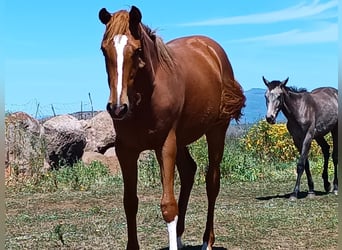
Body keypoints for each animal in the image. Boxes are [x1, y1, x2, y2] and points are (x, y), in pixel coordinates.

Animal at [97, 5, 244, 248]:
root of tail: (211, 50)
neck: (146, 99)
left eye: (137, 51)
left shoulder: (165, 145)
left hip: (216, 131)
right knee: (189, 172)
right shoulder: (125, 150)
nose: (117, 108)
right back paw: (181, 236)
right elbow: (130, 202)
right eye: (103, 50)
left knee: (212, 182)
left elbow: (168, 206)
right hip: (182, 139)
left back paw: (207, 241)